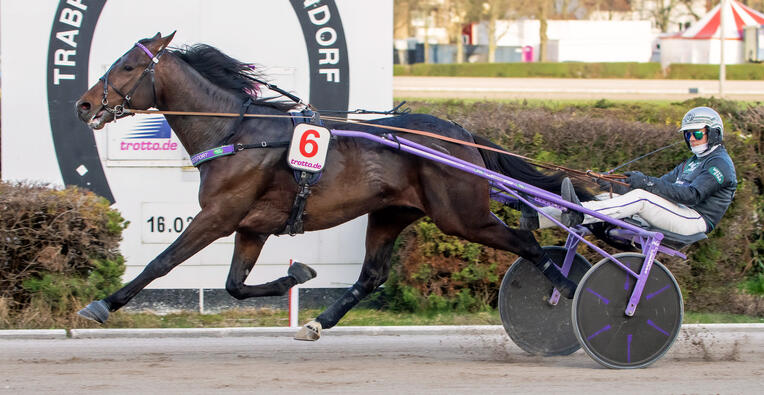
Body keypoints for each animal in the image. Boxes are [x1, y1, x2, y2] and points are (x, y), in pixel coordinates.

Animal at [74, 33, 592, 340]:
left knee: (527, 242)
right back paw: (317, 322)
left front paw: (101, 304)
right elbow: (235, 286)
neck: (235, 132)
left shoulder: (219, 215)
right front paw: (298, 275)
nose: (84, 105)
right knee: (371, 275)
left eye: (126, 67)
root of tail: (459, 133)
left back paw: (571, 290)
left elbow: (161, 263)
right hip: (391, 213)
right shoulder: (251, 226)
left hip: (462, 215)